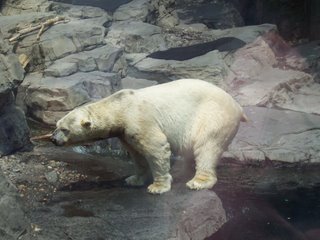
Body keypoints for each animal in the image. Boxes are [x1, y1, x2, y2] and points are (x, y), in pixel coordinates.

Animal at [52, 79, 248, 194]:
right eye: (56, 126)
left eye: (64, 129)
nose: (53, 139)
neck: (120, 106)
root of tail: (238, 106)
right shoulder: (125, 132)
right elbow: (136, 154)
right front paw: (133, 179)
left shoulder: (139, 119)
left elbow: (156, 147)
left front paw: (157, 186)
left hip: (213, 116)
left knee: (206, 146)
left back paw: (198, 182)